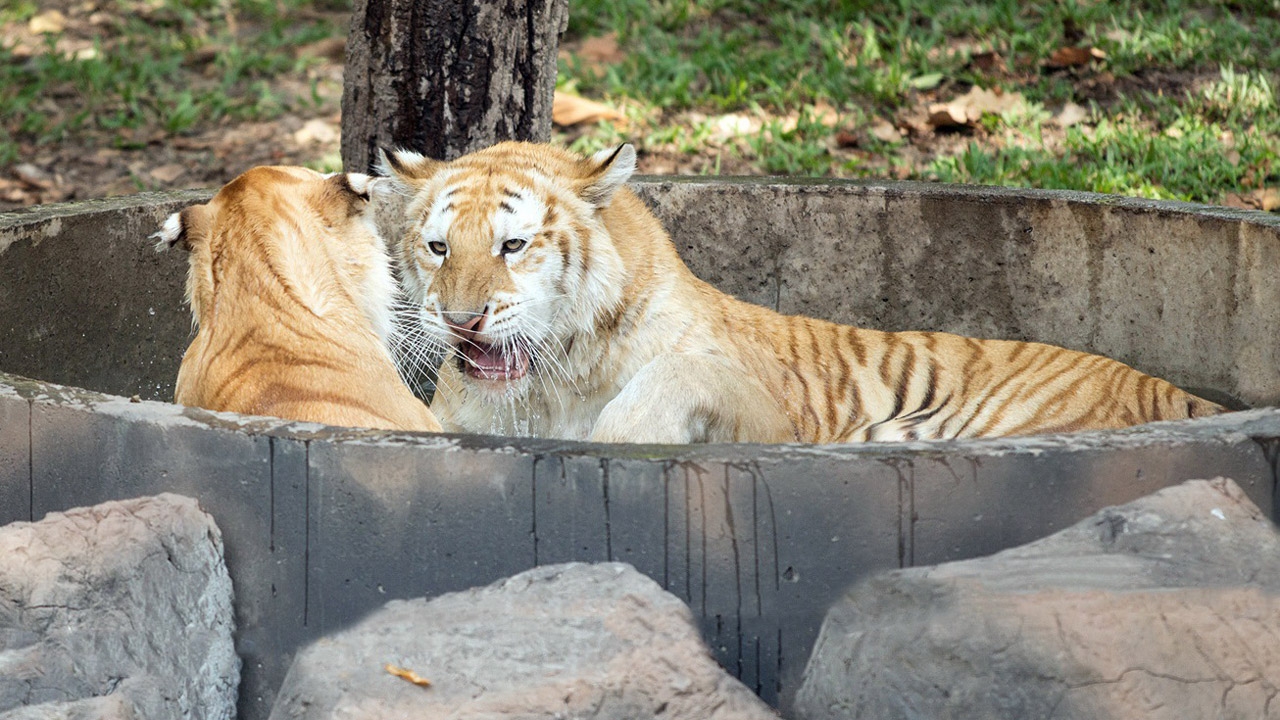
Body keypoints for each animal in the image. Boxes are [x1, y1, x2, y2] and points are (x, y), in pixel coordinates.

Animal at [376, 140, 1218, 443]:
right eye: (439, 247)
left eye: (513, 246)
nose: (461, 320)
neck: (556, 386)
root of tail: (1174, 392)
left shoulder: (776, 418)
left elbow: (673, 378)